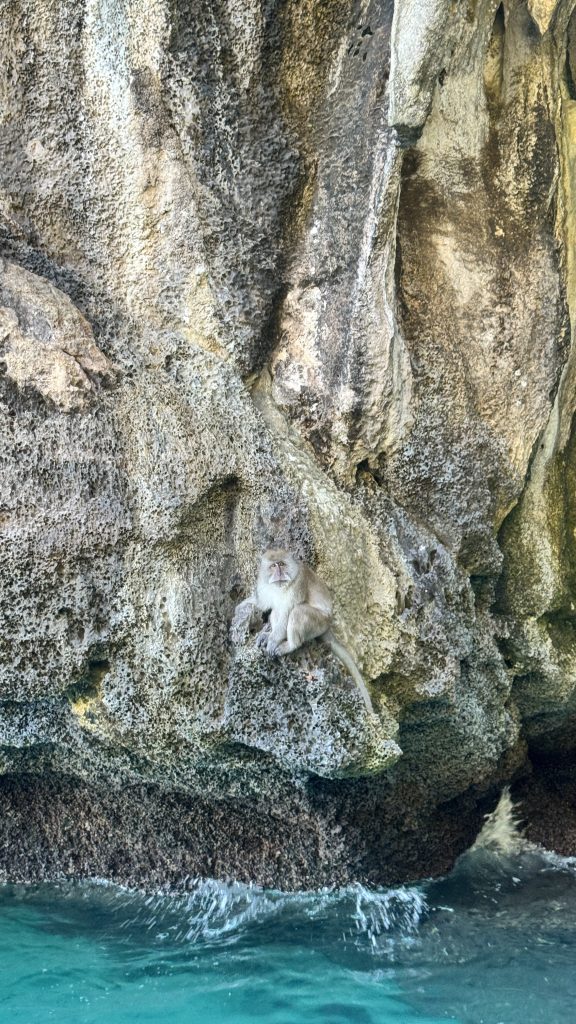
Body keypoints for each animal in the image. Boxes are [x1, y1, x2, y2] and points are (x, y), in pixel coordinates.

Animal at [231, 549, 373, 713]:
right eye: (273, 566)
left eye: (282, 564)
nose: (279, 572)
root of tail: (328, 624)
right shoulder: (263, 583)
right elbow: (263, 603)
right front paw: (242, 608)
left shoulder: (297, 584)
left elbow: (287, 612)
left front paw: (272, 642)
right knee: (276, 610)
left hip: (318, 622)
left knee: (297, 611)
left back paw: (290, 645)